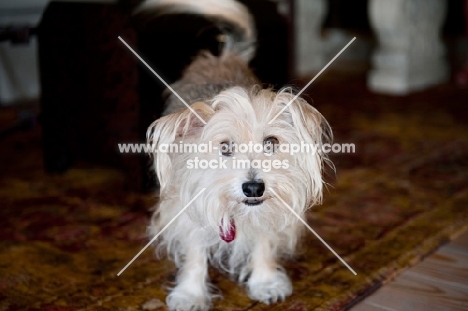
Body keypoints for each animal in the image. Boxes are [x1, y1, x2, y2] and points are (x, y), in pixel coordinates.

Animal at [137, 0, 330, 310]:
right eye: (225, 147)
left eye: (271, 143)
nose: (253, 187)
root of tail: (221, 57)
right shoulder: (188, 209)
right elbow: (194, 254)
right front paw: (191, 294)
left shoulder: (270, 210)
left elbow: (264, 241)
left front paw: (264, 282)